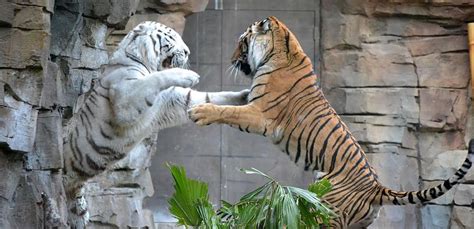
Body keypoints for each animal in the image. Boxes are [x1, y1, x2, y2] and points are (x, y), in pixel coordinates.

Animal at [57, 21, 248, 227]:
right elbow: (155, 79)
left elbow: (206, 98)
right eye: (172, 37)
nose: (188, 52)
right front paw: (189, 75)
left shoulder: (171, 101)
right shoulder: (125, 96)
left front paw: (243, 97)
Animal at [190, 16, 474, 229]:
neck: (282, 48)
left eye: (242, 41)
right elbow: (230, 100)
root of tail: (376, 188)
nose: (230, 60)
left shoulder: (260, 114)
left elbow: (229, 112)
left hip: (324, 211)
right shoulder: (253, 103)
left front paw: (200, 112)